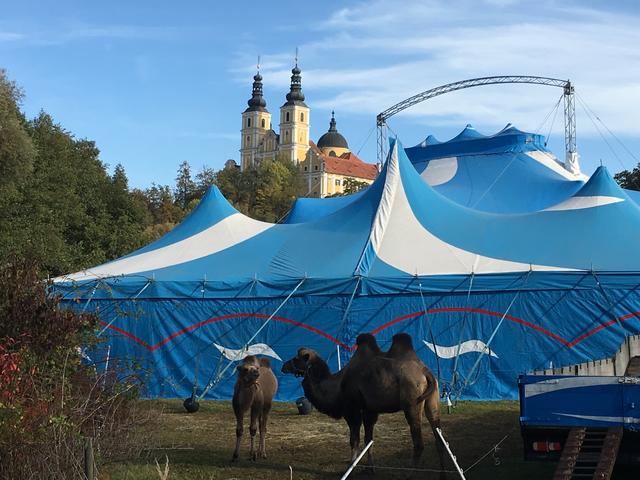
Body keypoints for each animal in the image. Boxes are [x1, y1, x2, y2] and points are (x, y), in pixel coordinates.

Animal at [282, 332, 448, 474]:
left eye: (296, 358)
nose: (284, 366)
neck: (337, 385)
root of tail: (425, 372)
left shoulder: (352, 410)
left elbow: (354, 440)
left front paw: (351, 466)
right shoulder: (370, 410)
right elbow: (369, 440)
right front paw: (370, 469)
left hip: (411, 401)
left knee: (419, 443)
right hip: (432, 400)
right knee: (439, 438)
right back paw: (443, 474)